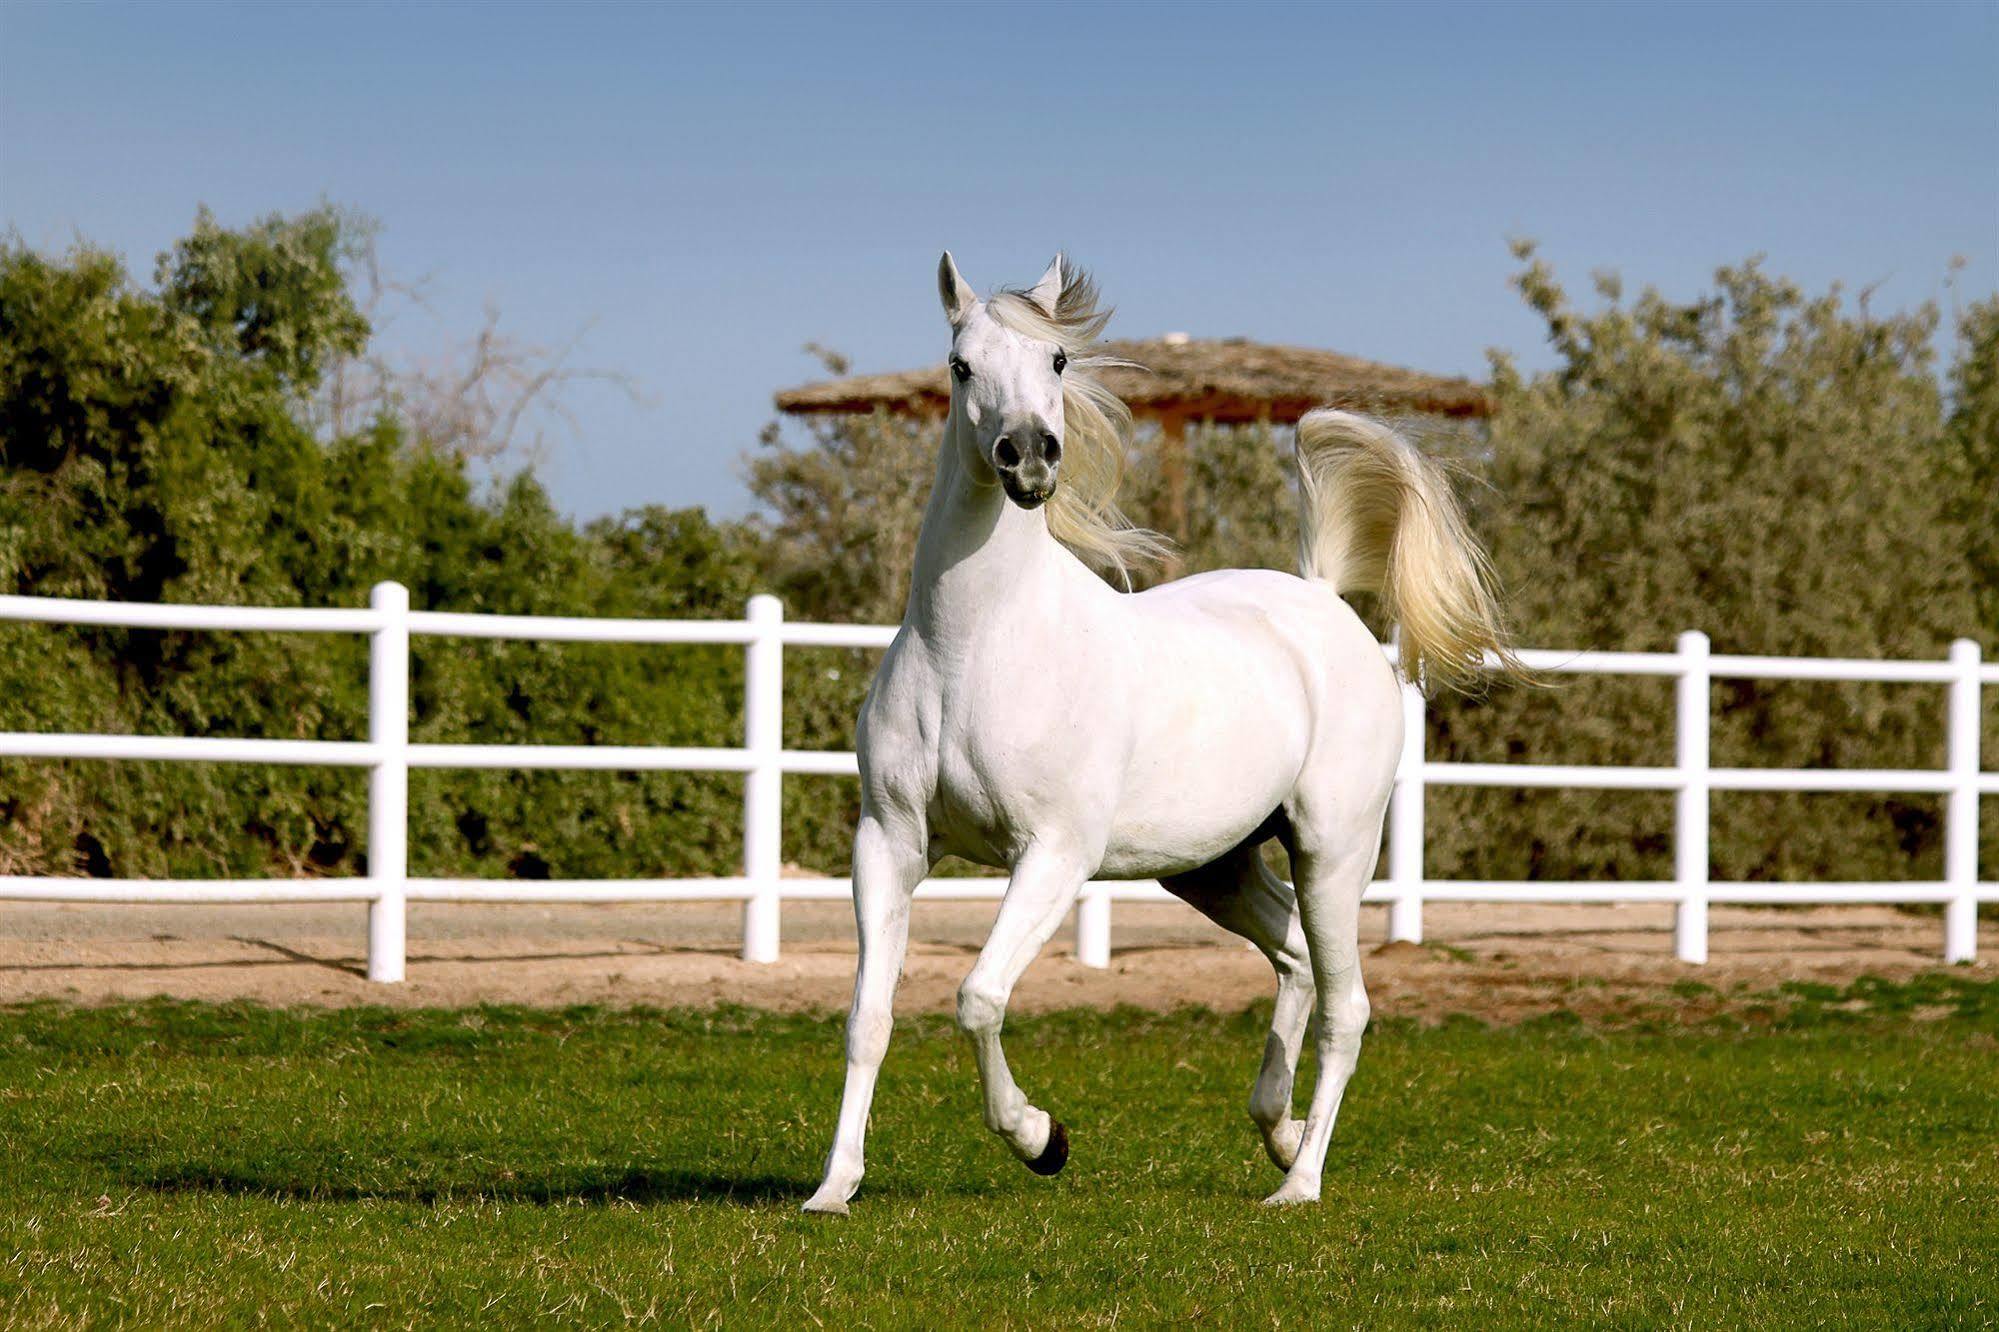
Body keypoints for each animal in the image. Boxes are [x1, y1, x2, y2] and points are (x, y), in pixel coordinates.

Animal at [803, 254, 1503, 1208]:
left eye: (1058, 360)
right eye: (959, 365)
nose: (1029, 457)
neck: (973, 650)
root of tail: (1322, 599)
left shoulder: (1053, 855)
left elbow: (978, 996)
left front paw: (1042, 1139)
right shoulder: (889, 842)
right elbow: (867, 1017)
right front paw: (833, 1188)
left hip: (1332, 851)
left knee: (1346, 1006)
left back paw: (1299, 1183)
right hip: (1213, 867)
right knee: (1293, 959)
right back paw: (1278, 1132)